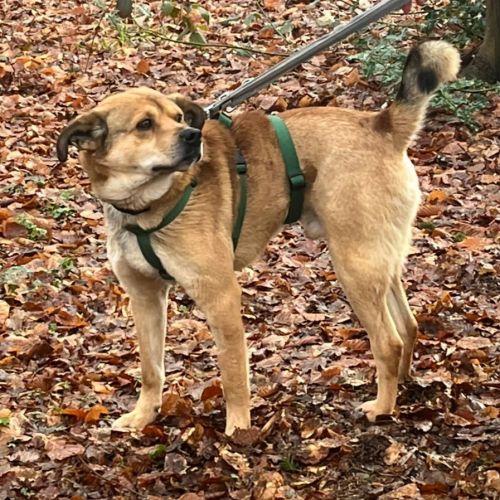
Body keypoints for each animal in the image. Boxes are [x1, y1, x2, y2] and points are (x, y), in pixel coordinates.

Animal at [57, 41, 460, 435]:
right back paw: (402, 384)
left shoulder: (220, 296)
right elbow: (150, 367)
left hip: (354, 266)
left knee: (388, 342)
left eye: (179, 118)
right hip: (379, 260)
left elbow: (233, 370)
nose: (193, 136)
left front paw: (238, 428)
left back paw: (382, 408)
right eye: (144, 124)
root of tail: (381, 124)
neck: (147, 205)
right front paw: (143, 416)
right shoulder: (145, 297)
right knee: (408, 326)